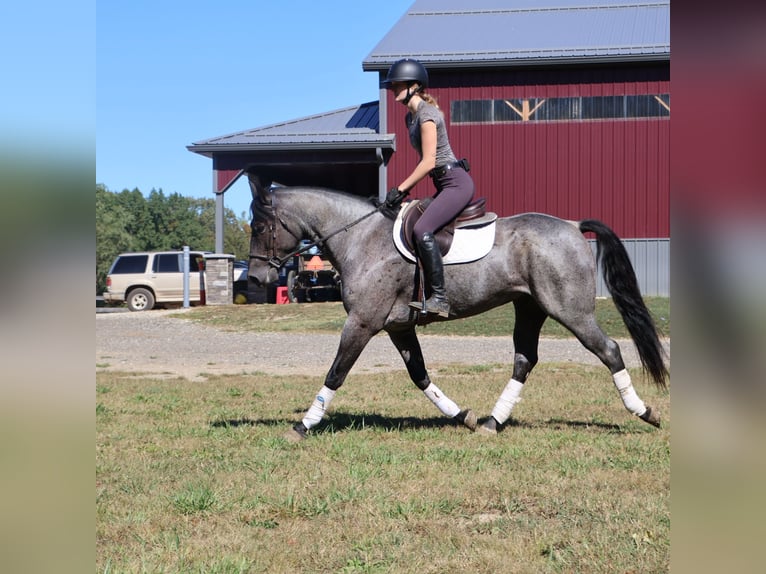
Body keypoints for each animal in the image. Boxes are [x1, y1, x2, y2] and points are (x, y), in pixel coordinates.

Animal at [246, 177, 668, 442]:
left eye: (260, 226)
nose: (253, 280)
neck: (360, 238)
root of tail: (571, 225)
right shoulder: (399, 326)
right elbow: (419, 374)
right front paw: (461, 415)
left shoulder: (363, 322)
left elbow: (336, 373)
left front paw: (303, 426)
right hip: (530, 307)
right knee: (524, 359)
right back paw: (492, 422)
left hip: (570, 311)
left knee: (608, 350)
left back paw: (644, 411)